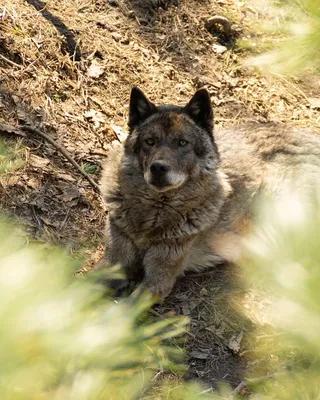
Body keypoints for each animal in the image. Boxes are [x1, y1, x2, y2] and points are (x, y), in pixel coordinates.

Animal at [97, 88, 320, 300]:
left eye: (182, 143)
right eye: (150, 141)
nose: (158, 168)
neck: (152, 215)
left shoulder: (158, 280)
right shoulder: (113, 260)